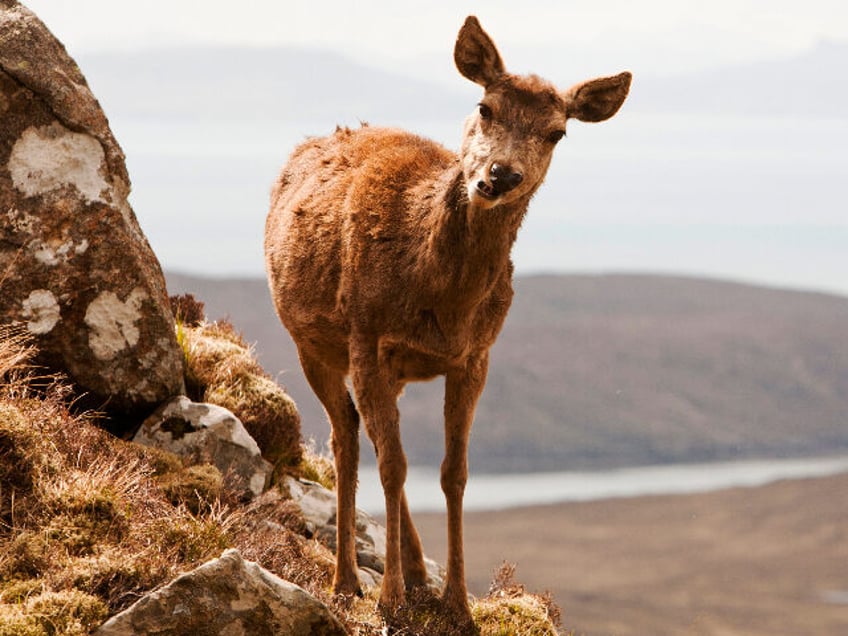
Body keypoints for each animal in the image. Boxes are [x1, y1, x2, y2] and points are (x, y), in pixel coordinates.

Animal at [264, 16, 628, 632]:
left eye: (557, 132)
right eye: (485, 106)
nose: (499, 175)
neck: (437, 295)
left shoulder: (474, 356)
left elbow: (453, 472)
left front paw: (455, 601)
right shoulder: (367, 335)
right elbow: (392, 466)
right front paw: (388, 598)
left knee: (372, 437)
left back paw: (414, 572)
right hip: (311, 341)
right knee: (346, 439)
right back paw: (345, 581)